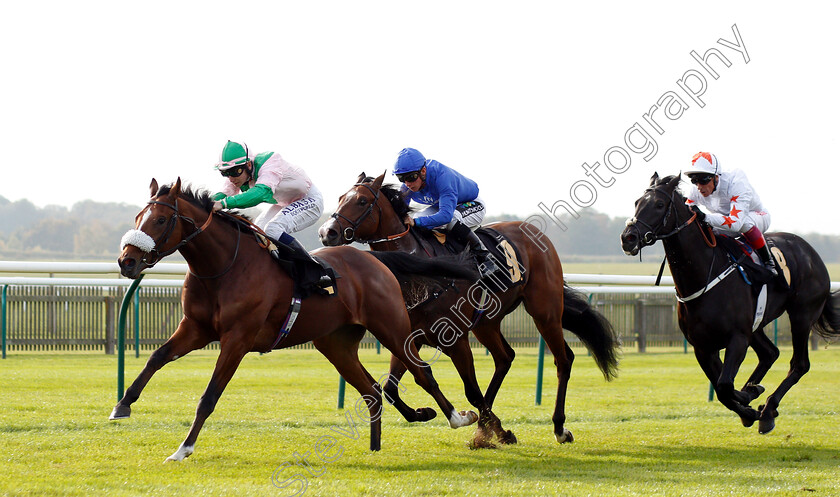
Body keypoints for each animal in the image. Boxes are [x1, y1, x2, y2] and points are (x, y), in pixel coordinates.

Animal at [113, 178, 480, 462]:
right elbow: (157, 357)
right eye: (138, 216)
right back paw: (378, 446)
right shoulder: (195, 328)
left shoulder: (237, 338)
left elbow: (209, 396)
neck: (225, 266)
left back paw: (458, 418)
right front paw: (122, 405)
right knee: (373, 391)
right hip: (335, 344)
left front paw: (183, 449)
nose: (127, 261)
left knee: (422, 372)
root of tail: (376, 259)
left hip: (392, 327)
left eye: (161, 220)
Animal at [318, 172, 620, 444]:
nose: (326, 232)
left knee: (563, 359)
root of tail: (536, 233)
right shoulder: (407, 336)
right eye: (340, 197)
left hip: (544, 310)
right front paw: (487, 428)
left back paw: (559, 428)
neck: (418, 276)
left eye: (361, 200)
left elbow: (471, 391)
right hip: (487, 321)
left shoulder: (455, 339)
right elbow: (394, 387)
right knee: (505, 357)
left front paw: (490, 429)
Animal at [620, 172, 840, 432]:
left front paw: (750, 397)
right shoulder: (703, 347)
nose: (628, 237)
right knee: (770, 353)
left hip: (802, 315)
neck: (704, 276)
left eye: (659, 204)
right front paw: (748, 404)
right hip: (757, 325)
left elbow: (725, 385)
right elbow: (721, 388)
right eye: (637, 202)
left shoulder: (737, 338)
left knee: (799, 364)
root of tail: (811, 252)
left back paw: (768, 409)